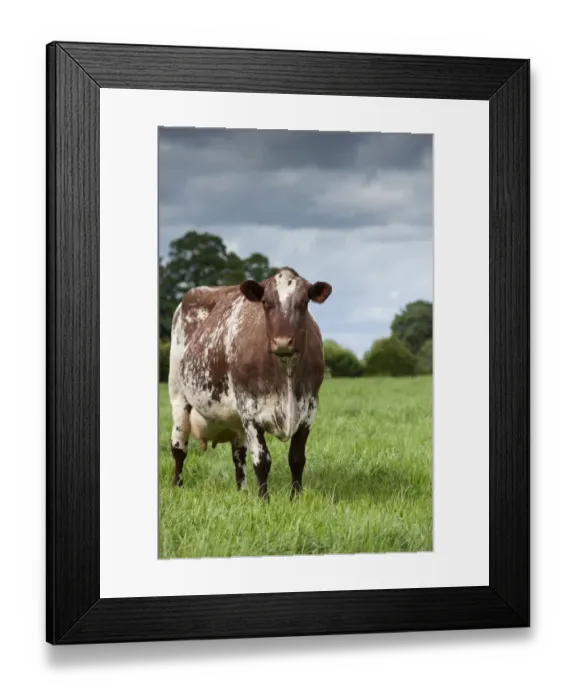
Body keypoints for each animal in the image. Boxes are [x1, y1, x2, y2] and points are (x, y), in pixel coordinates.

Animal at [168, 266, 332, 500]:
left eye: (304, 302)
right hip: (178, 396)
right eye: (265, 302)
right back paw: (177, 485)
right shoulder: (250, 410)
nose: (283, 342)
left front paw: (296, 497)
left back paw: (242, 490)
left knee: (239, 454)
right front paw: (264, 500)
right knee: (179, 447)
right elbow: (262, 460)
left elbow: (297, 458)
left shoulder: (309, 410)